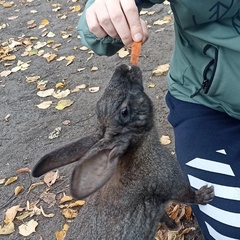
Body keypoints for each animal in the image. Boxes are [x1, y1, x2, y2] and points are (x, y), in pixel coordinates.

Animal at [31, 64, 214, 240]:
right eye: (124, 111)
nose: (123, 68)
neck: (139, 149)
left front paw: (172, 226)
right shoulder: (171, 182)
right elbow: (189, 195)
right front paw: (206, 194)